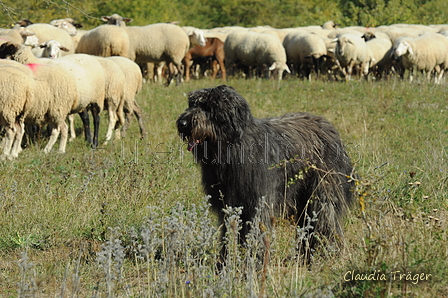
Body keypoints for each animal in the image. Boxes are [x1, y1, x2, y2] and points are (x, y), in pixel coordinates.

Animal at [177, 85, 356, 262]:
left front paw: (254, 260)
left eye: (208, 106)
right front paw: (226, 261)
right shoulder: (229, 204)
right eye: (192, 104)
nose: (182, 123)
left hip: (322, 190)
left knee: (326, 219)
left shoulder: (258, 201)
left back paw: (327, 253)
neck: (232, 147)